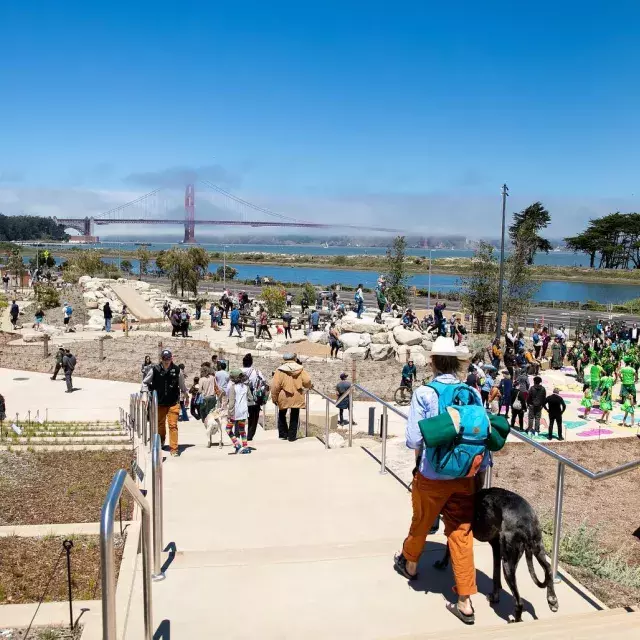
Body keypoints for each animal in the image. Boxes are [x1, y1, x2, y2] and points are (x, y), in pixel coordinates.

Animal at [432, 490, 556, 620]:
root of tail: (526, 522)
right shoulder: (496, 548)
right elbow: (496, 574)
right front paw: (495, 596)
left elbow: (448, 548)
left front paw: (441, 563)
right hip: (537, 548)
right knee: (548, 569)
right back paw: (552, 599)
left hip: (508, 565)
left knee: (519, 602)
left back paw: (517, 620)